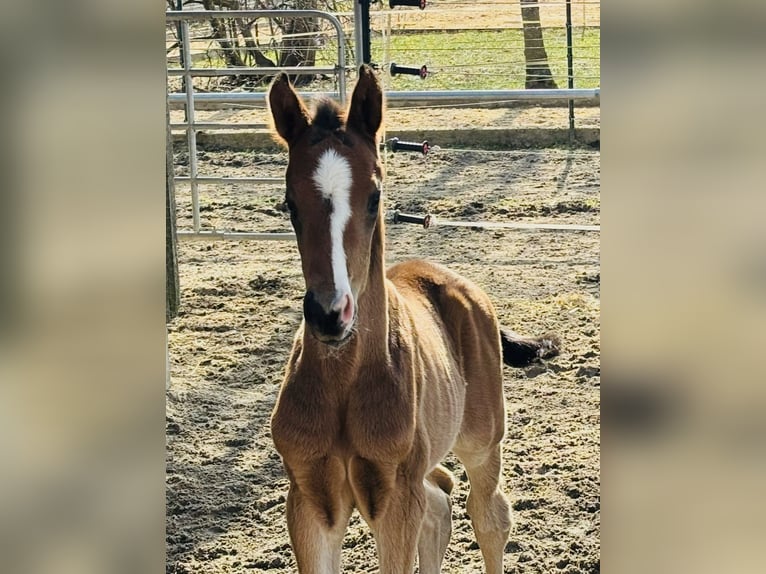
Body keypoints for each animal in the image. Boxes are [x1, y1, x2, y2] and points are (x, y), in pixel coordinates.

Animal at [267, 65, 559, 574]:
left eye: (374, 196)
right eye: (289, 202)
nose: (330, 314)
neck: (346, 382)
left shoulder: (396, 501)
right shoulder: (308, 499)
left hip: (483, 442)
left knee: (489, 515)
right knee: (440, 498)